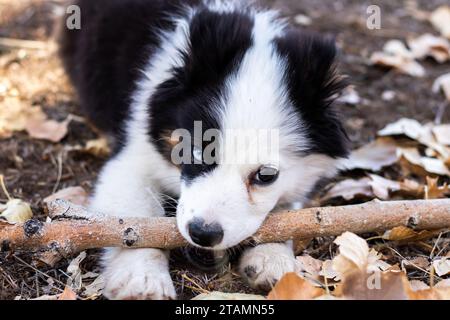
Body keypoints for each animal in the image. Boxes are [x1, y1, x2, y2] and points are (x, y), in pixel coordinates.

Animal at [59, 0, 348, 300]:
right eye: (196, 151)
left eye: (266, 175)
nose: (203, 233)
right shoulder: (132, 157)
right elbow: (134, 222)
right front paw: (142, 279)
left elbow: (286, 214)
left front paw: (272, 258)